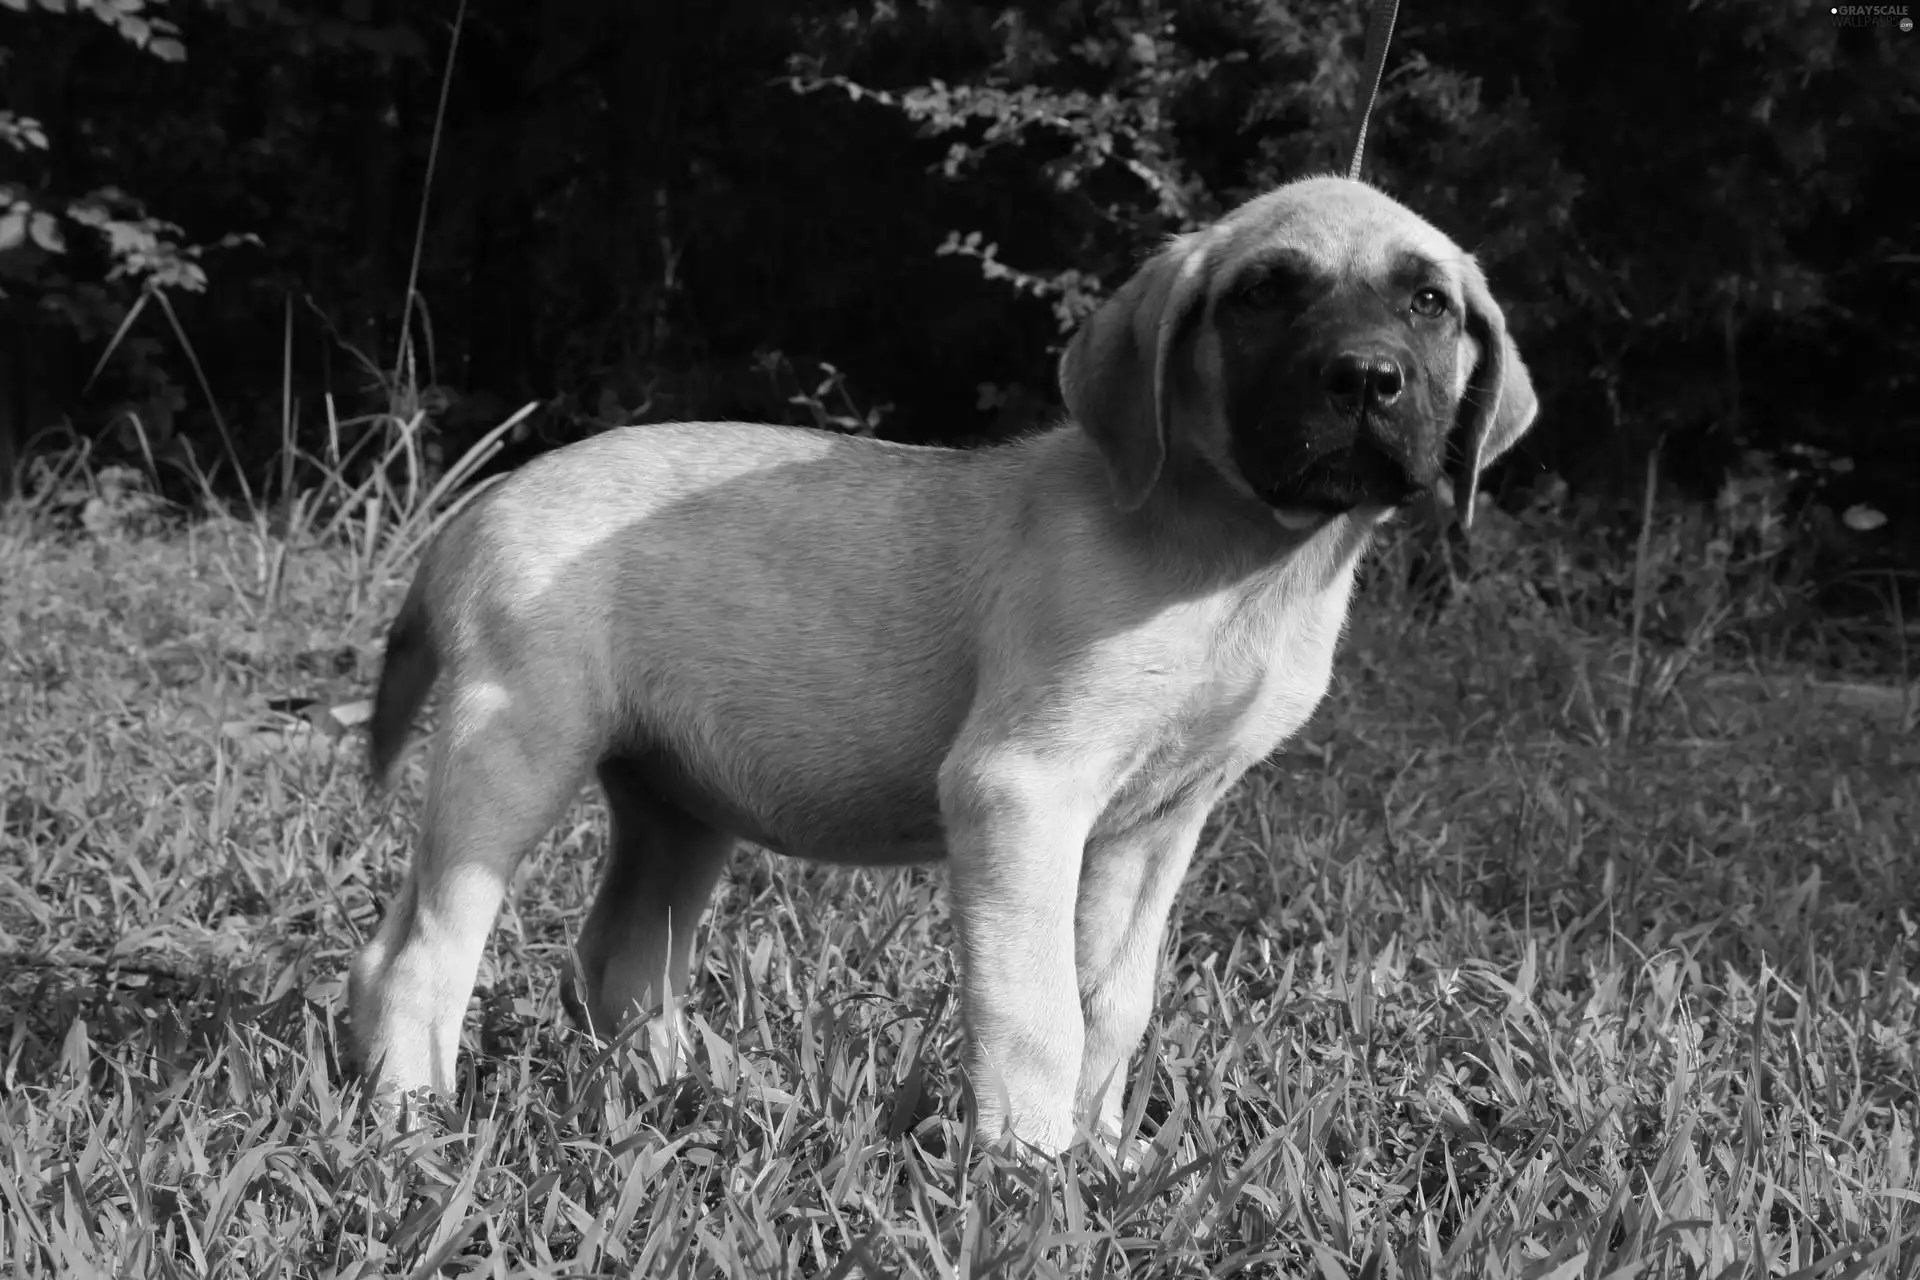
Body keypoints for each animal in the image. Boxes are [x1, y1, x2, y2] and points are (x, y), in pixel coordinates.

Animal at [353, 175, 1536, 1159]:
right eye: (1263, 293)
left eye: (1429, 302)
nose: (1368, 379)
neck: (1242, 562)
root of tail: (474, 513)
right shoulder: (1021, 790)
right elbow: (1038, 1006)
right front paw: (1029, 1169)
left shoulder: (1159, 823)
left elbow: (1115, 1002)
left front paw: (1106, 1158)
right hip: (515, 749)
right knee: (426, 953)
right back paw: (416, 1127)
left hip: (675, 804)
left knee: (609, 962)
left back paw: (699, 1102)